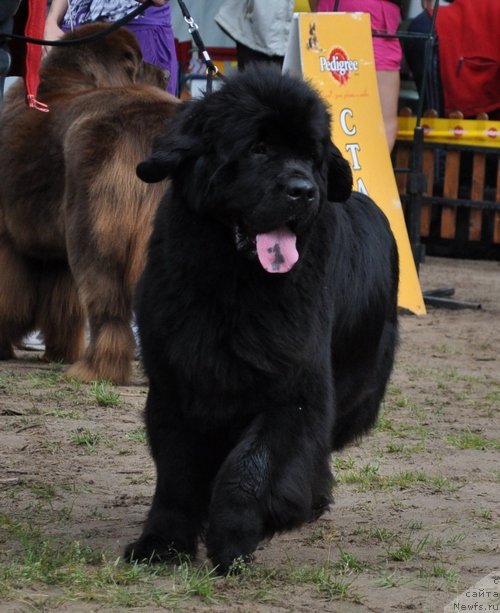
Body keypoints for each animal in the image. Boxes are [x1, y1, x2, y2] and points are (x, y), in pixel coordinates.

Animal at [0, 23, 180, 382]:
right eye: (138, 61)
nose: (168, 72)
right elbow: (62, 303)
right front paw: (58, 351)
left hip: (95, 227)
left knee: (107, 308)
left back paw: (96, 369)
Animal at [127, 67, 400, 572]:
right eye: (258, 148)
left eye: (310, 156)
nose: (303, 191)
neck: (234, 286)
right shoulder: (176, 382)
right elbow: (175, 474)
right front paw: (162, 542)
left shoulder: (294, 389)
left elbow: (252, 465)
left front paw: (234, 539)